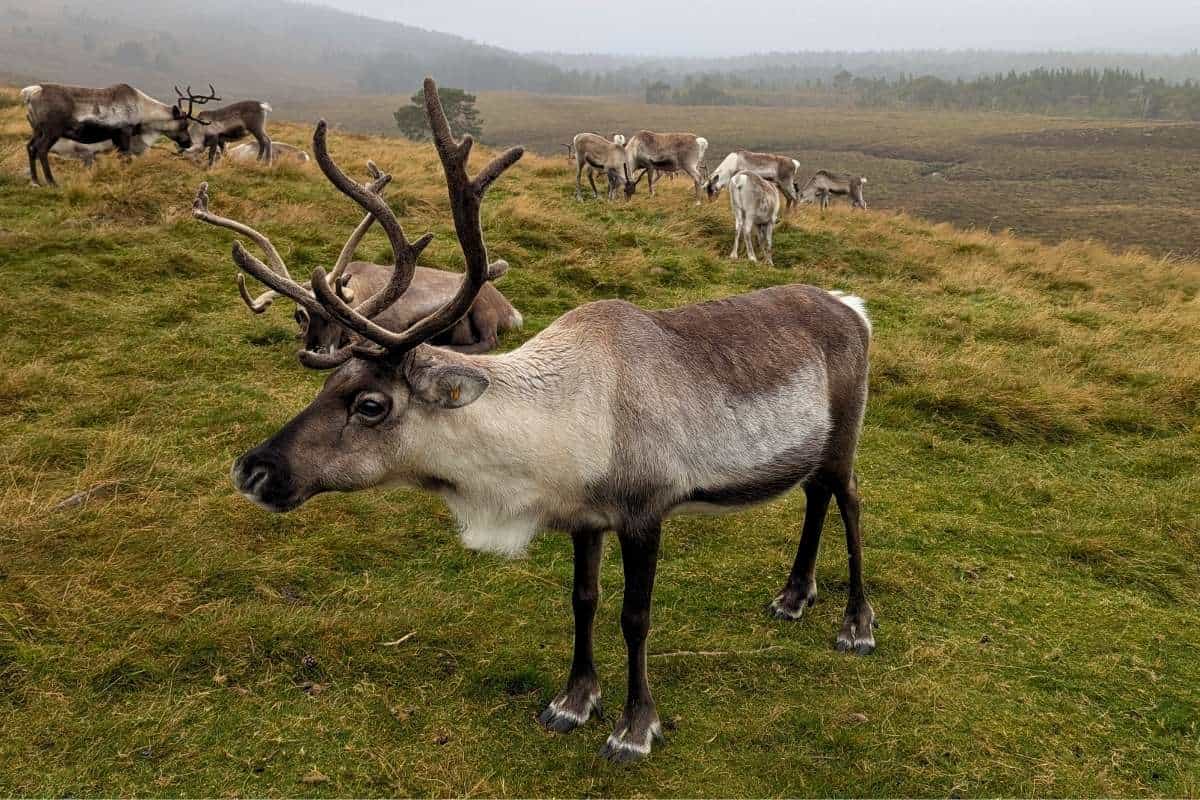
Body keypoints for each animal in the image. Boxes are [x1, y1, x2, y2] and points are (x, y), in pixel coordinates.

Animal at [21, 82, 216, 186]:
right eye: (184, 124)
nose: (188, 143)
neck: (142, 109)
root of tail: (31, 92)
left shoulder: (115, 138)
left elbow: (122, 159)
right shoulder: (124, 133)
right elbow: (127, 159)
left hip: (37, 130)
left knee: (30, 147)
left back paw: (35, 181)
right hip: (52, 130)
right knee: (41, 150)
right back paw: (51, 181)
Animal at [191, 166, 521, 359]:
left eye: (339, 317)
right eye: (300, 315)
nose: (316, 349)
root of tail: (511, 310)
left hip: (482, 309)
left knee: (489, 341)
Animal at [225, 77, 875, 764]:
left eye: (371, 405)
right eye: (329, 382)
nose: (253, 469)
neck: (558, 423)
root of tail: (853, 307)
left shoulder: (645, 510)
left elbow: (634, 617)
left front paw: (635, 726)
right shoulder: (583, 517)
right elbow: (583, 602)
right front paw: (573, 700)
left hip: (846, 434)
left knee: (850, 500)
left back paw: (856, 624)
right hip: (811, 447)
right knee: (815, 496)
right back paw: (794, 595)